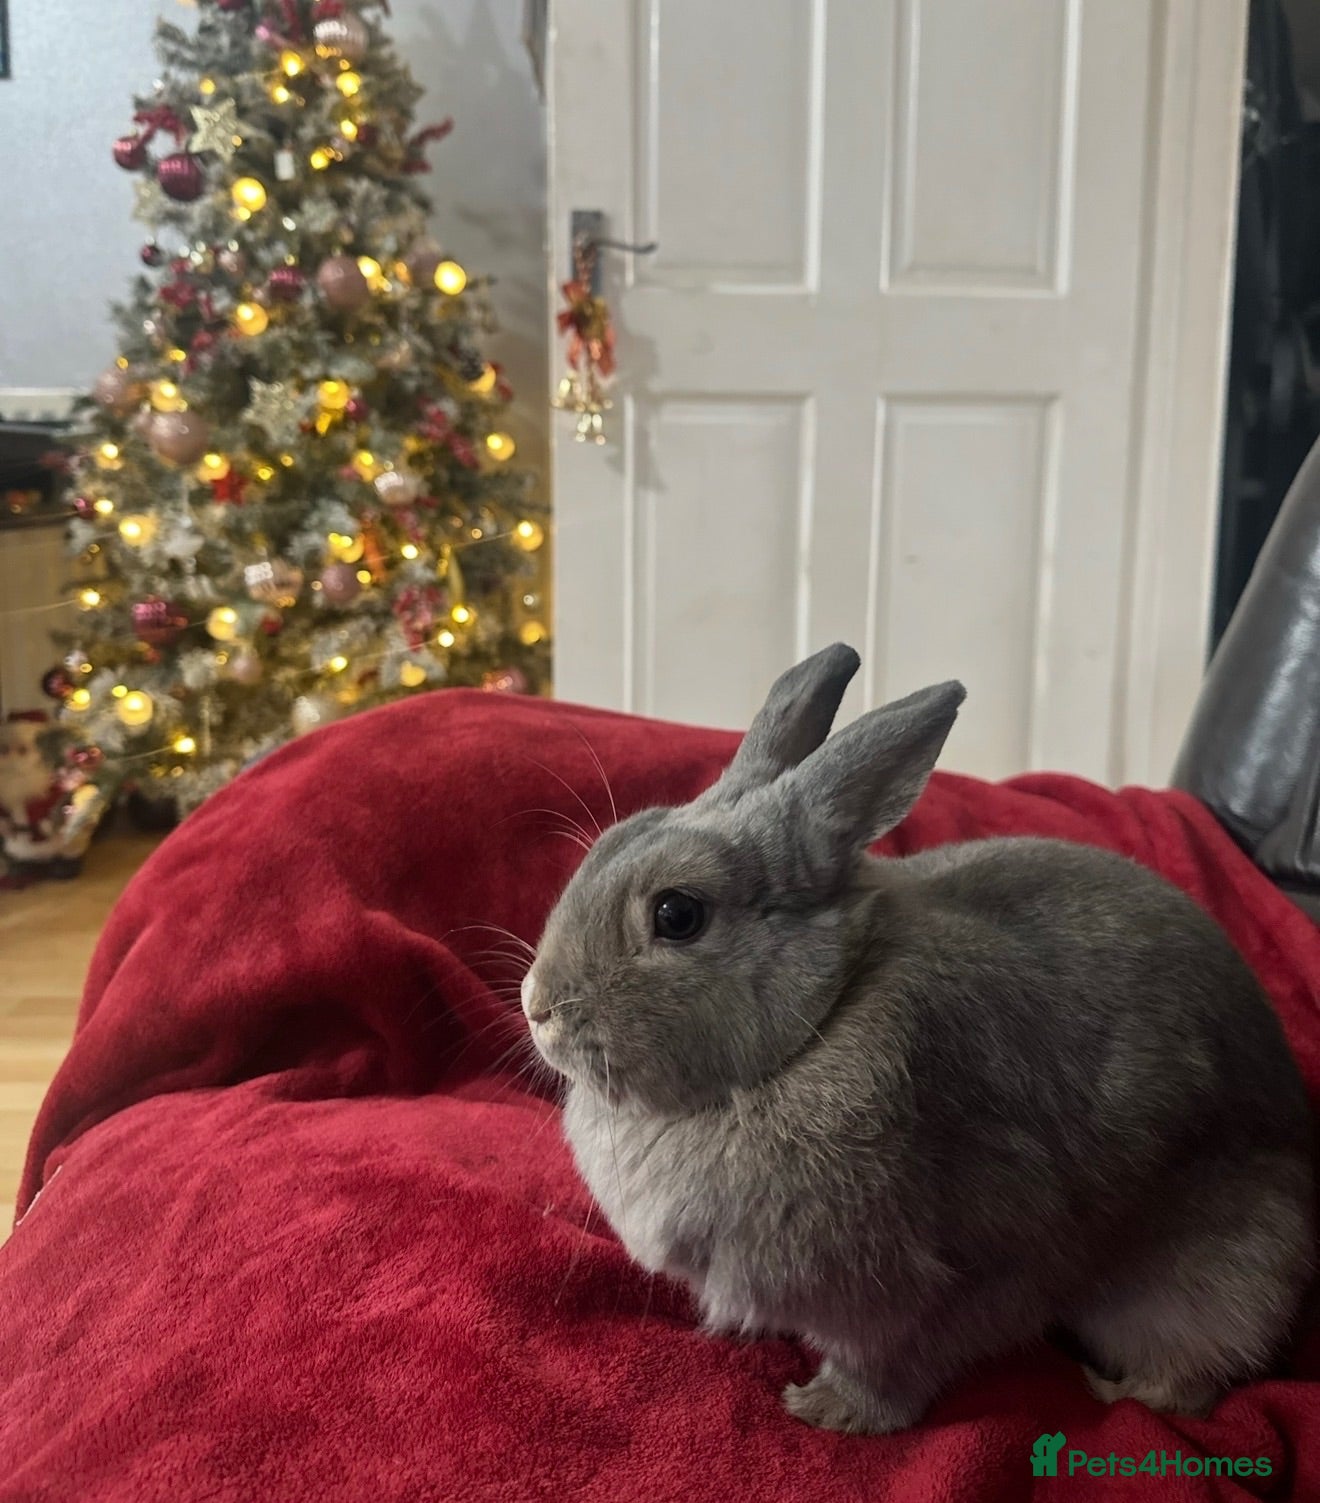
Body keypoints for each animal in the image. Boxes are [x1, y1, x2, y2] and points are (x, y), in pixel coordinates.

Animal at [521, 643, 1315, 1434]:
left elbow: (894, 1365)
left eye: (677, 913)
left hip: (1218, 1279)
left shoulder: (945, 1280)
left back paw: (1123, 1393)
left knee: (1205, 1366)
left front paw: (826, 1410)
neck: (818, 1019)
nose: (536, 1005)